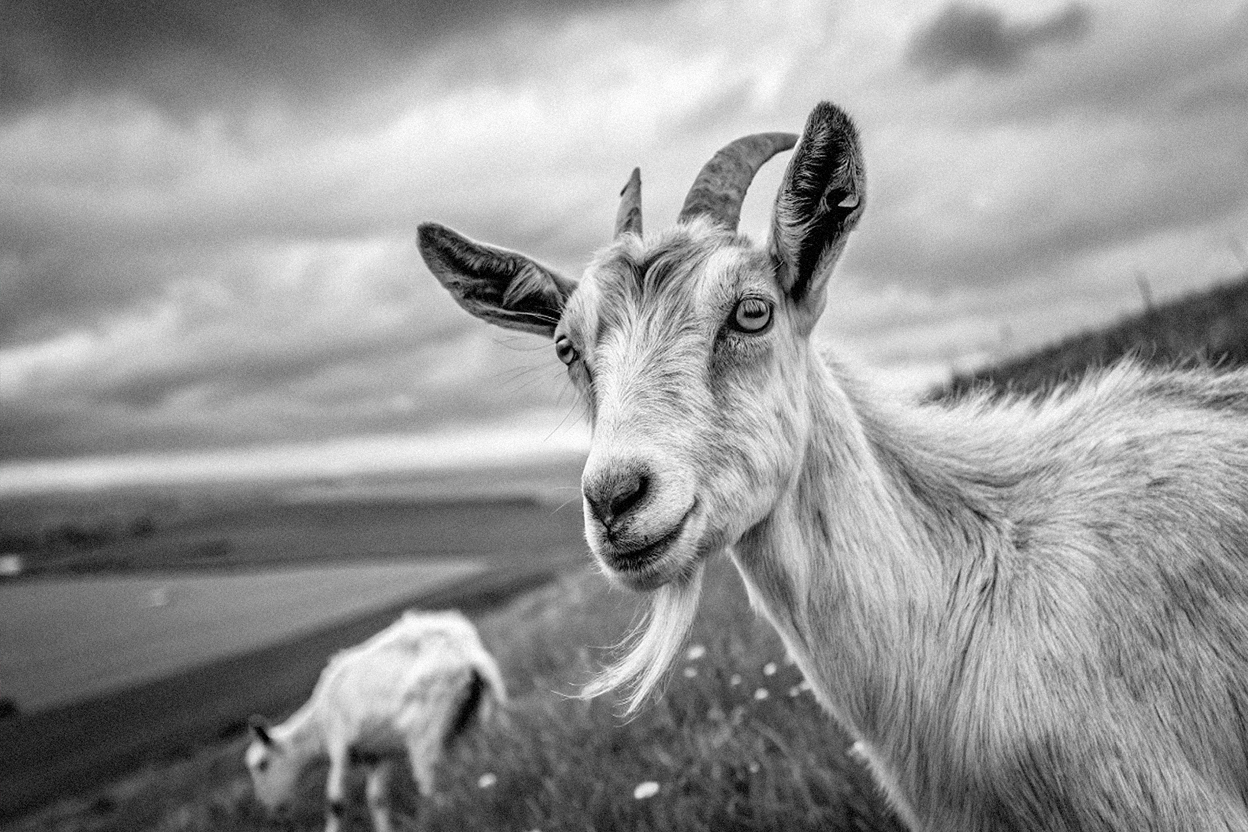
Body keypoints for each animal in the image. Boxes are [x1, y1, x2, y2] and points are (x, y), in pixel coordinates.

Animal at [244, 610, 506, 832]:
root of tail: (463, 653)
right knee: (491, 754)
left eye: (262, 765)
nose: (271, 810)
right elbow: (377, 799)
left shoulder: (339, 744)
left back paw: (439, 817)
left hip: (425, 731)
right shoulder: (377, 755)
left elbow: (335, 802)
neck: (315, 731)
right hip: (485, 713)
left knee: (430, 782)